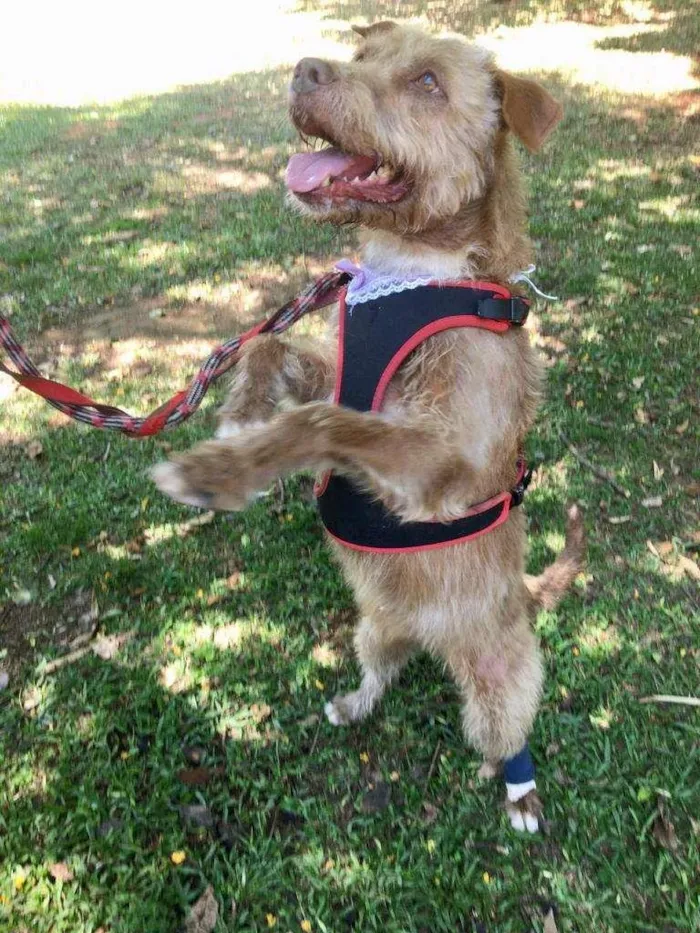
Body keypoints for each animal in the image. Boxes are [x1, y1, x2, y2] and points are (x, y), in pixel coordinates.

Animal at [150, 20, 584, 832]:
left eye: (427, 82)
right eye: (363, 54)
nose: (305, 70)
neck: (409, 267)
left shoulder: (442, 462)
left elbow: (325, 419)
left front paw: (218, 471)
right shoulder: (338, 364)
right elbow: (266, 347)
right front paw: (241, 418)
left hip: (502, 674)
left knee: (503, 725)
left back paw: (519, 791)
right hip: (373, 626)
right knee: (382, 670)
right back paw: (354, 702)